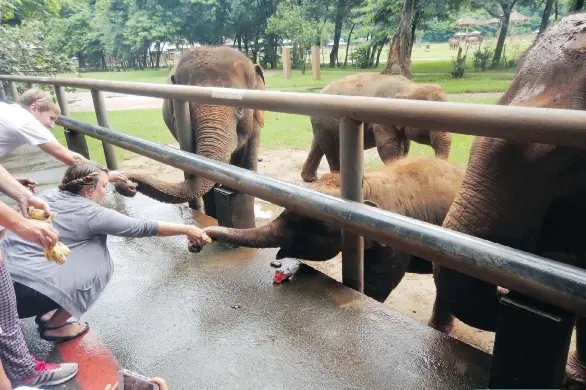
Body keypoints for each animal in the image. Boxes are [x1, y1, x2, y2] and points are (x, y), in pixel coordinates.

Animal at [298, 72, 450, 182]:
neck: (409, 86)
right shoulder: (382, 119)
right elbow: (388, 146)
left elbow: (405, 148)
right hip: (326, 120)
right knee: (331, 149)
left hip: (322, 124)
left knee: (318, 145)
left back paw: (310, 178)